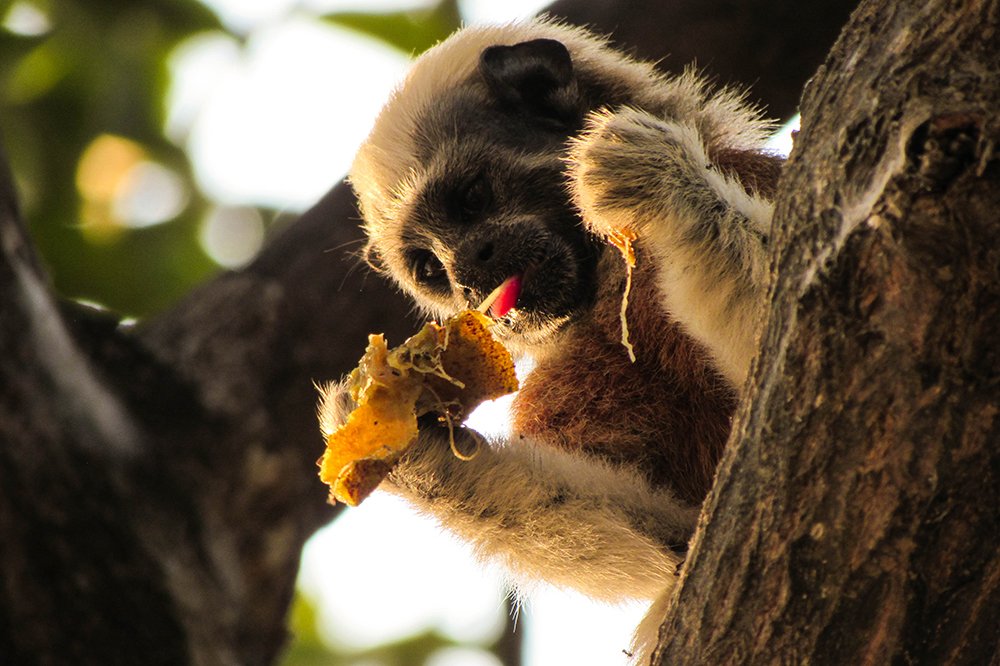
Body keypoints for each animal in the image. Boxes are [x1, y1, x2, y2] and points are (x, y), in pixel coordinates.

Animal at [320, 17, 782, 662]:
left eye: (471, 199)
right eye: (431, 269)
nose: (471, 274)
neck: (603, 284)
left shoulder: (746, 173)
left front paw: (666, 186)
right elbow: (676, 545)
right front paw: (402, 440)